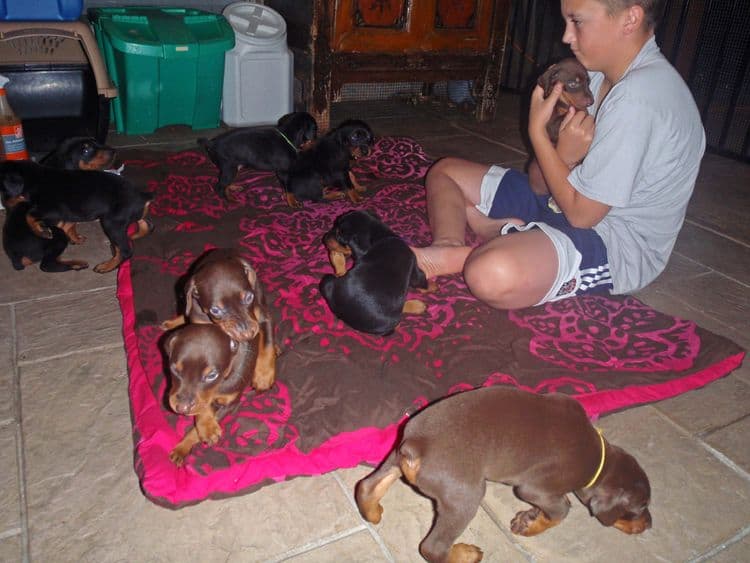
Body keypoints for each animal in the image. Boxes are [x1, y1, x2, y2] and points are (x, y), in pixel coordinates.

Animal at [0, 160, 153, 274]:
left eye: (3, 190)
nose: (6, 206)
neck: (36, 179)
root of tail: (143, 196)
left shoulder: (51, 211)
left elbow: (30, 215)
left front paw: (41, 231)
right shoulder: (67, 213)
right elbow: (69, 224)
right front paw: (76, 238)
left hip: (111, 222)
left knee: (126, 250)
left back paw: (106, 266)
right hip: (126, 218)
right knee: (147, 225)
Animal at [165, 324, 274, 464]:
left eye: (212, 375)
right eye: (174, 369)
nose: (181, 408)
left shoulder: (230, 404)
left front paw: (186, 445)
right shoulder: (203, 400)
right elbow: (203, 408)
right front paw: (205, 430)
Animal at [358, 388, 652, 563]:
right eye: (640, 508)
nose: (649, 525)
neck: (599, 460)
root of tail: (418, 444)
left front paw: (529, 517)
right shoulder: (535, 489)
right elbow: (561, 511)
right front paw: (531, 525)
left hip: (395, 455)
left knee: (366, 487)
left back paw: (373, 512)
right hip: (465, 496)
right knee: (433, 548)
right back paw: (465, 553)